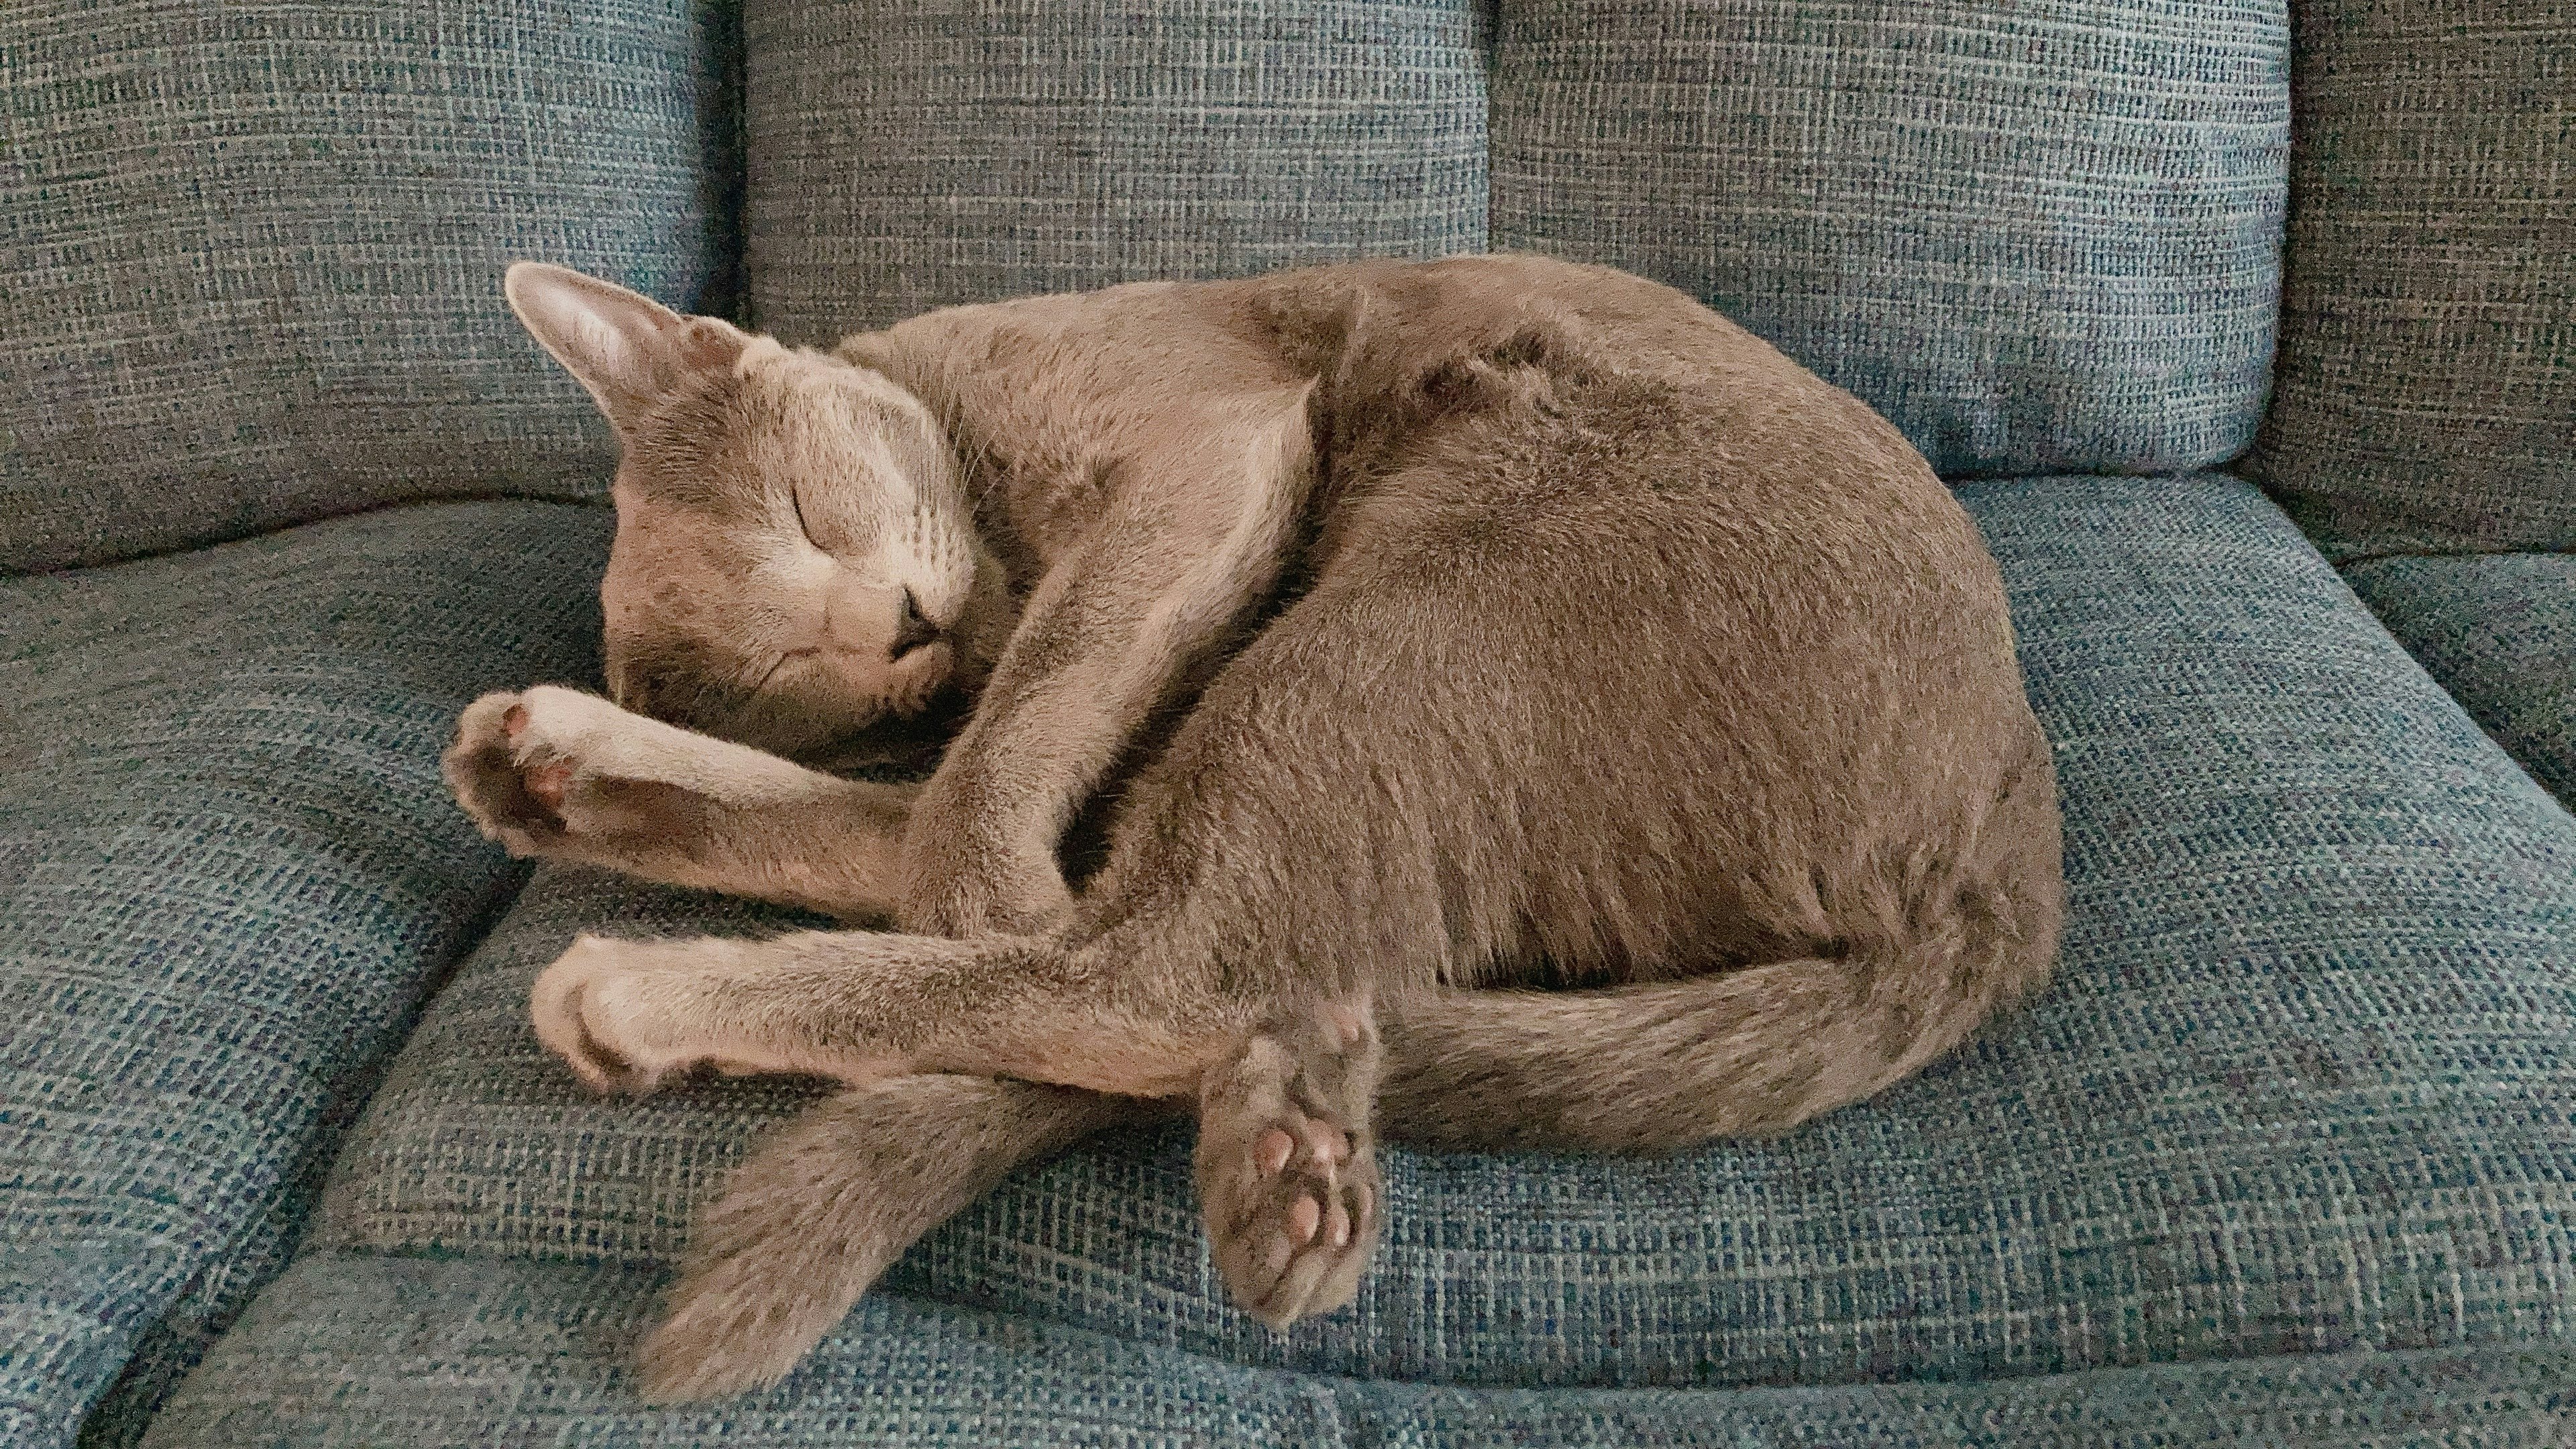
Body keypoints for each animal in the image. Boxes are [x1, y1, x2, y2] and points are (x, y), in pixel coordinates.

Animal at [448, 251, 2071, 1402]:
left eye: (802, 505)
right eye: (789, 670)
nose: (894, 628)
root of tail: (2008, 838)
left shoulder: (1200, 454)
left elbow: (991, 780)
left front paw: (986, 885)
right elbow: (938, 789)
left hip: (1410, 609)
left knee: (1149, 972)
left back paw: (637, 984)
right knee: (1151, 942)